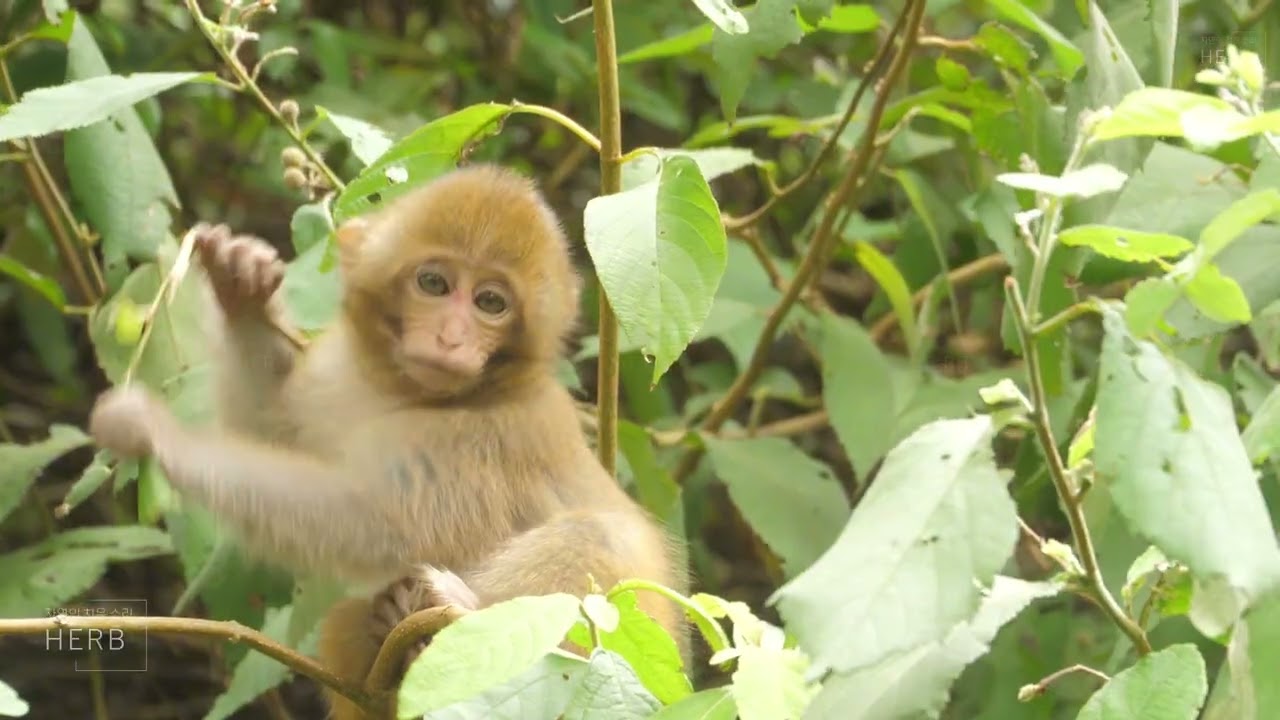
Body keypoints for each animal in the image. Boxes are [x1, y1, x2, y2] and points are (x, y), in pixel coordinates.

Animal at [88, 165, 689, 719]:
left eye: (491, 303)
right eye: (434, 284)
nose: (451, 337)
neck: (411, 395)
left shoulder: (487, 436)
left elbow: (377, 519)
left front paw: (157, 434)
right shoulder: (338, 373)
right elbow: (277, 431)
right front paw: (244, 289)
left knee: (599, 534)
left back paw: (457, 609)